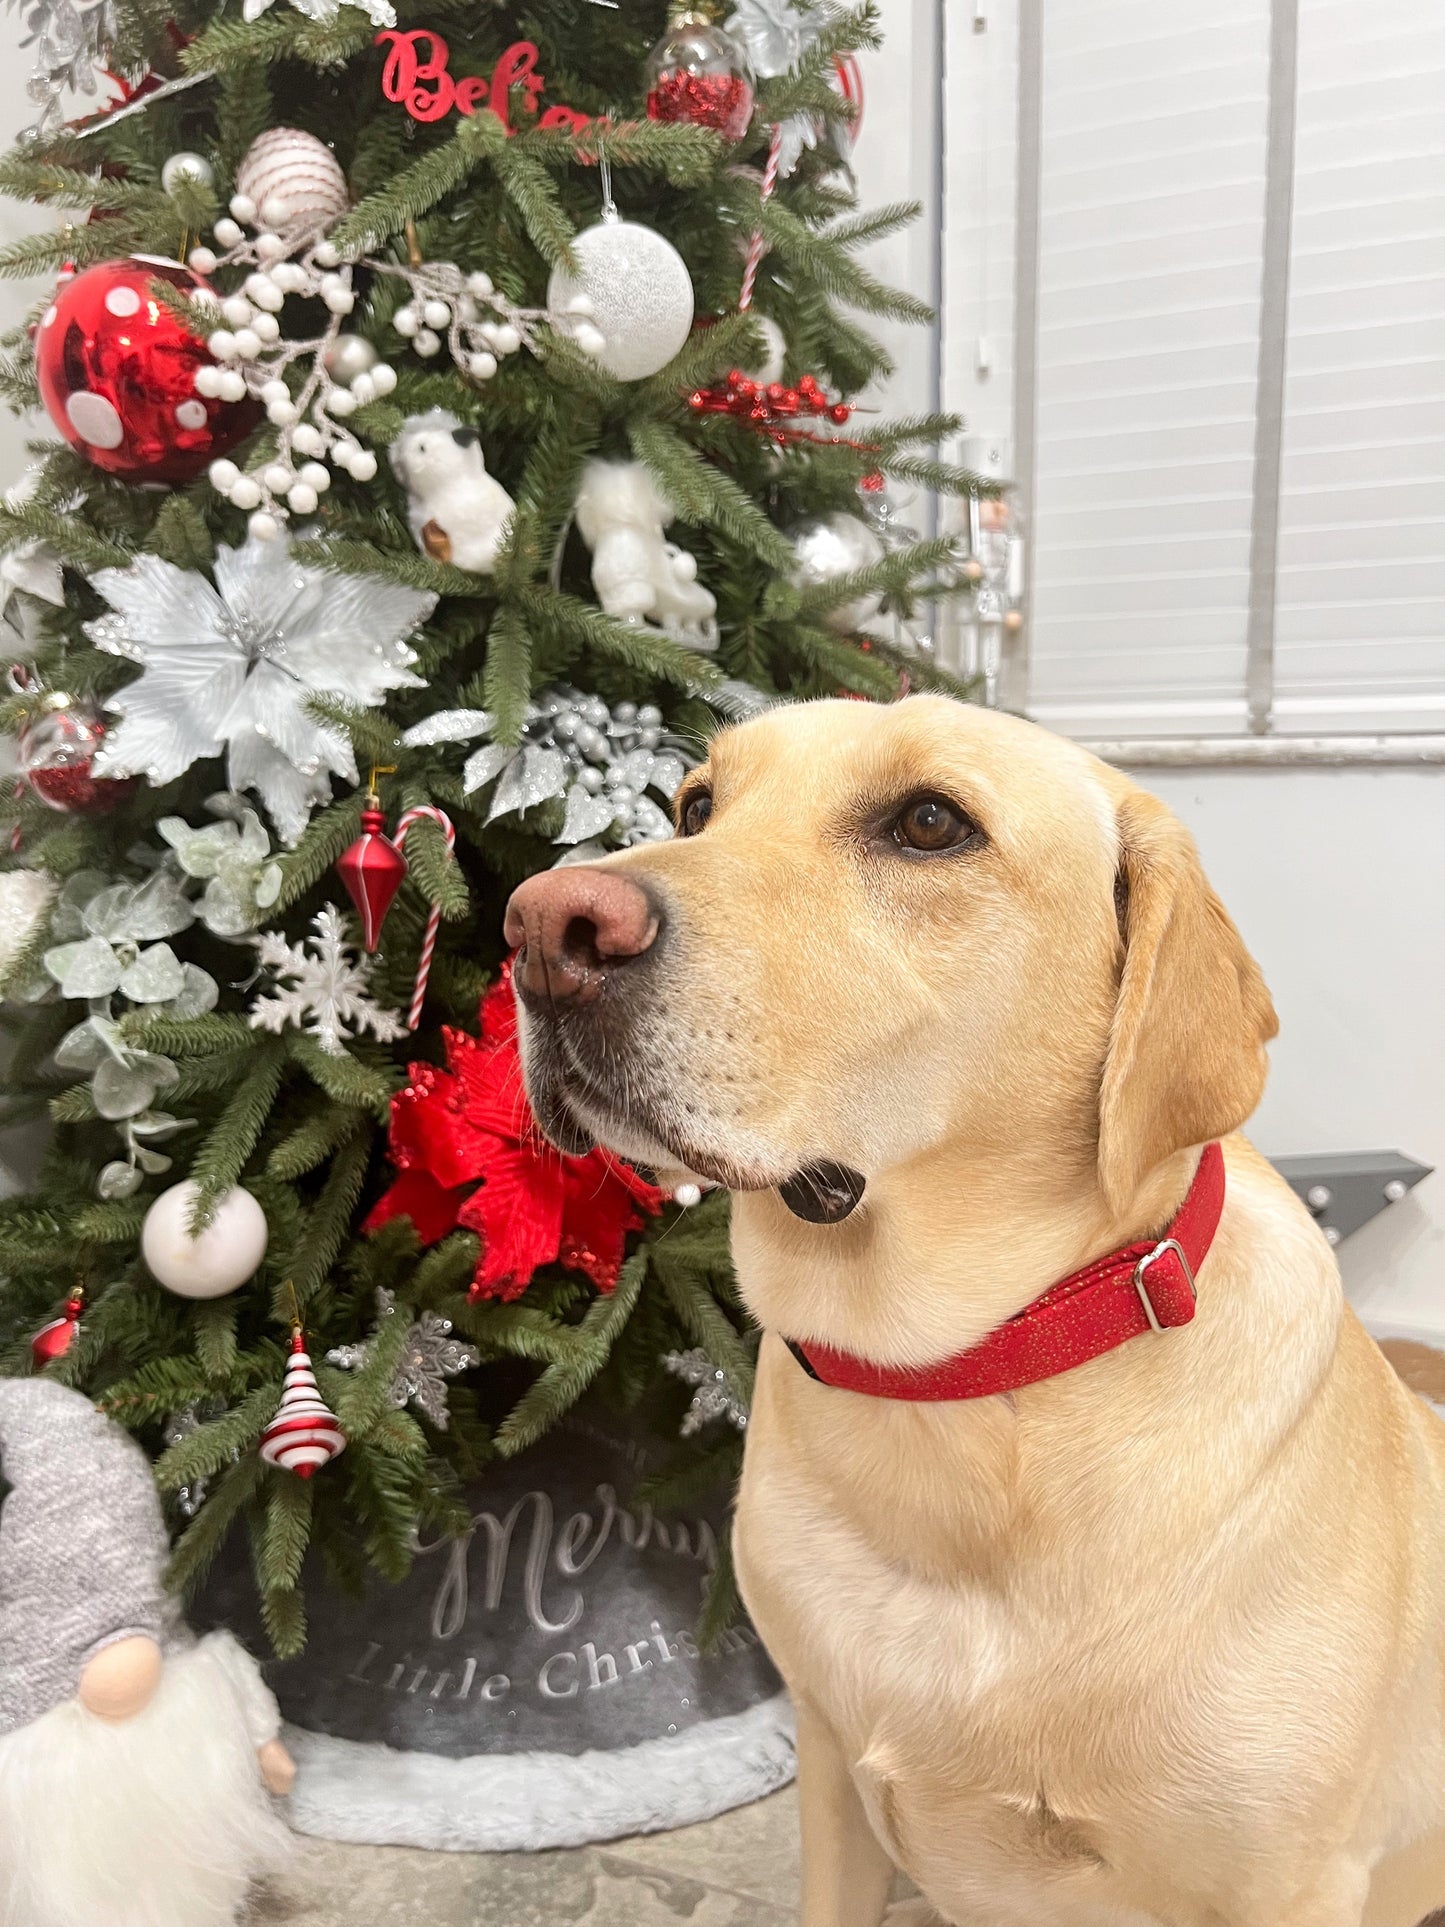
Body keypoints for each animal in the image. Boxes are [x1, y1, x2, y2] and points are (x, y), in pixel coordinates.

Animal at [504, 697, 1445, 1927]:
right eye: (697, 805)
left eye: (929, 823)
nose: (540, 926)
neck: (957, 1395)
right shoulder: (830, 1776)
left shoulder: (1289, 1885)